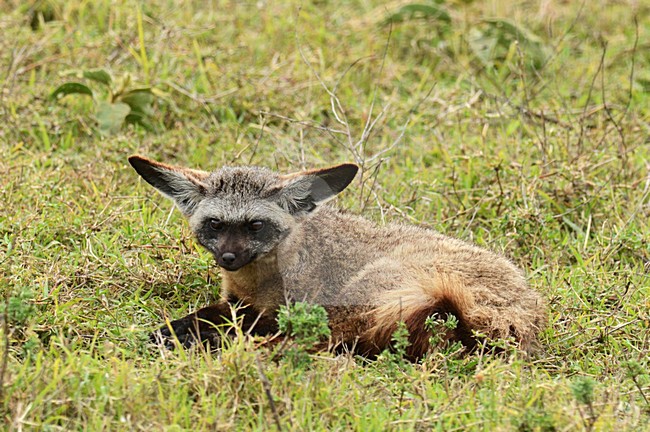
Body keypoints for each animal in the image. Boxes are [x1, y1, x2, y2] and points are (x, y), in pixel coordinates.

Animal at [129, 155, 546, 359]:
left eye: (255, 226)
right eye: (215, 224)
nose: (228, 258)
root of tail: (519, 316)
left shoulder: (292, 308)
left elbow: (235, 322)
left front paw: (180, 336)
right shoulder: (235, 302)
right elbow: (211, 313)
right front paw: (171, 331)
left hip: (370, 290)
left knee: (331, 343)